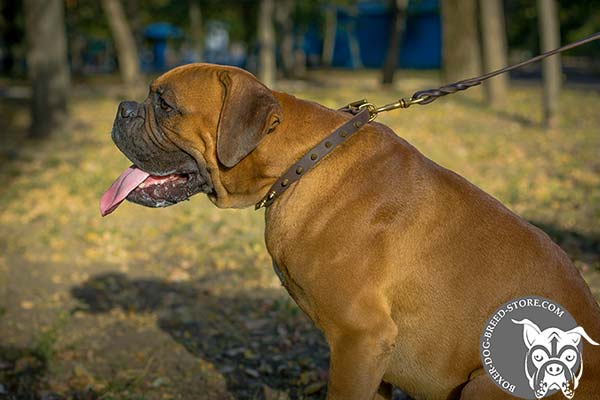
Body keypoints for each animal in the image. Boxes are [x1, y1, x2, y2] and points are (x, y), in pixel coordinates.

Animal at [99, 64, 600, 398]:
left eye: (164, 105)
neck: (299, 163)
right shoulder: (369, 357)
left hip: (486, 384)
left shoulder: (360, 339)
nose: (122, 108)